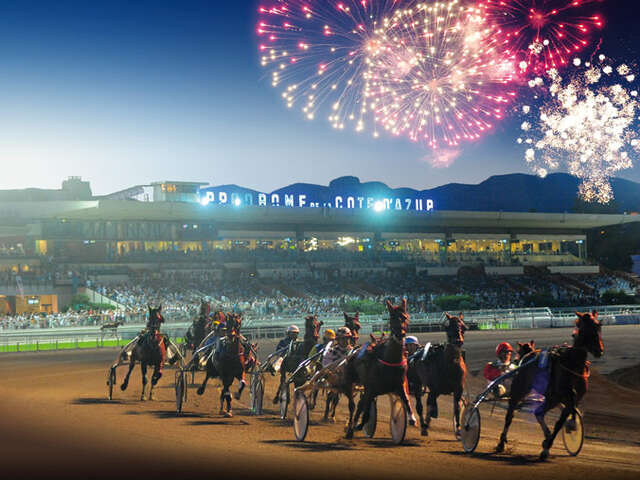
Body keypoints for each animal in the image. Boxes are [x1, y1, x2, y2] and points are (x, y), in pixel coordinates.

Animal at [344, 298, 416, 440]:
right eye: (392, 318)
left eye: (405, 317)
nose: (400, 334)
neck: (390, 360)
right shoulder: (371, 388)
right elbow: (365, 412)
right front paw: (359, 425)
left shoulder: (399, 384)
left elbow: (406, 400)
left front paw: (412, 419)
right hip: (353, 381)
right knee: (354, 405)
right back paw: (351, 427)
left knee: (361, 405)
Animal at [496, 310, 604, 460]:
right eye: (586, 329)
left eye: (598, 327)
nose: (599, 350)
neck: (573, 365)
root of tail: (528, 357)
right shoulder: (562, 395)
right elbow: (563, 412)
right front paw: (547, 446)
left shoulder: (568, 399)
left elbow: (562, 419)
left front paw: (549, 444)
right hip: (519, 390)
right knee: (509, 416)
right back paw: (501, 443)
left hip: (550, 398)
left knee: (539, 413)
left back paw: (546, 437)